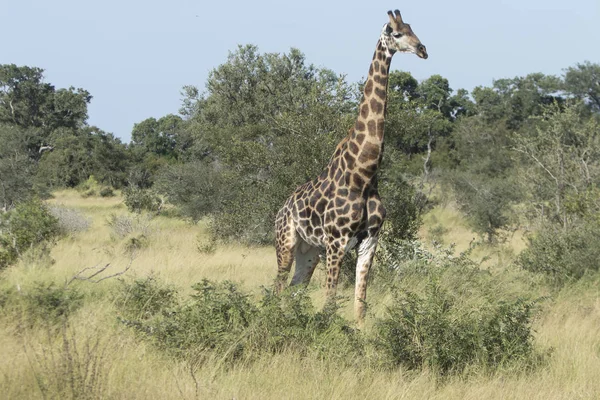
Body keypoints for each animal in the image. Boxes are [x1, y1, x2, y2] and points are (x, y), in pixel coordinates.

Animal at [274, 8, 428, 328]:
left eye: (413, 29)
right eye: (397, 33)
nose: (423, 50)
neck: (364, 175)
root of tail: (280, 210)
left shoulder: (369, 240)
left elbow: (360, 303)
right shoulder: (336, 241)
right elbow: (331, 301)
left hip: (309, 251)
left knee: (295, 288)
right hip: (286, 244)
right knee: (277, 287)